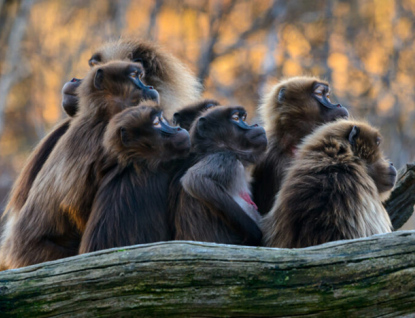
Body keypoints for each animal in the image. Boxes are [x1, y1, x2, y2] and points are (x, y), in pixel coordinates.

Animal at [0, 60, 159, 268]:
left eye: (141, 76)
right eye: (134, 76)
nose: (150, 87)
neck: (100, 116)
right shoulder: (106, 138)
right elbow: (73, 205)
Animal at [171, 107, 266, 246]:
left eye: (243, 118)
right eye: (236, 118)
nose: (254, 125)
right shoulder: (225, 158)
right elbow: (194, 180)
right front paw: (254, 234)